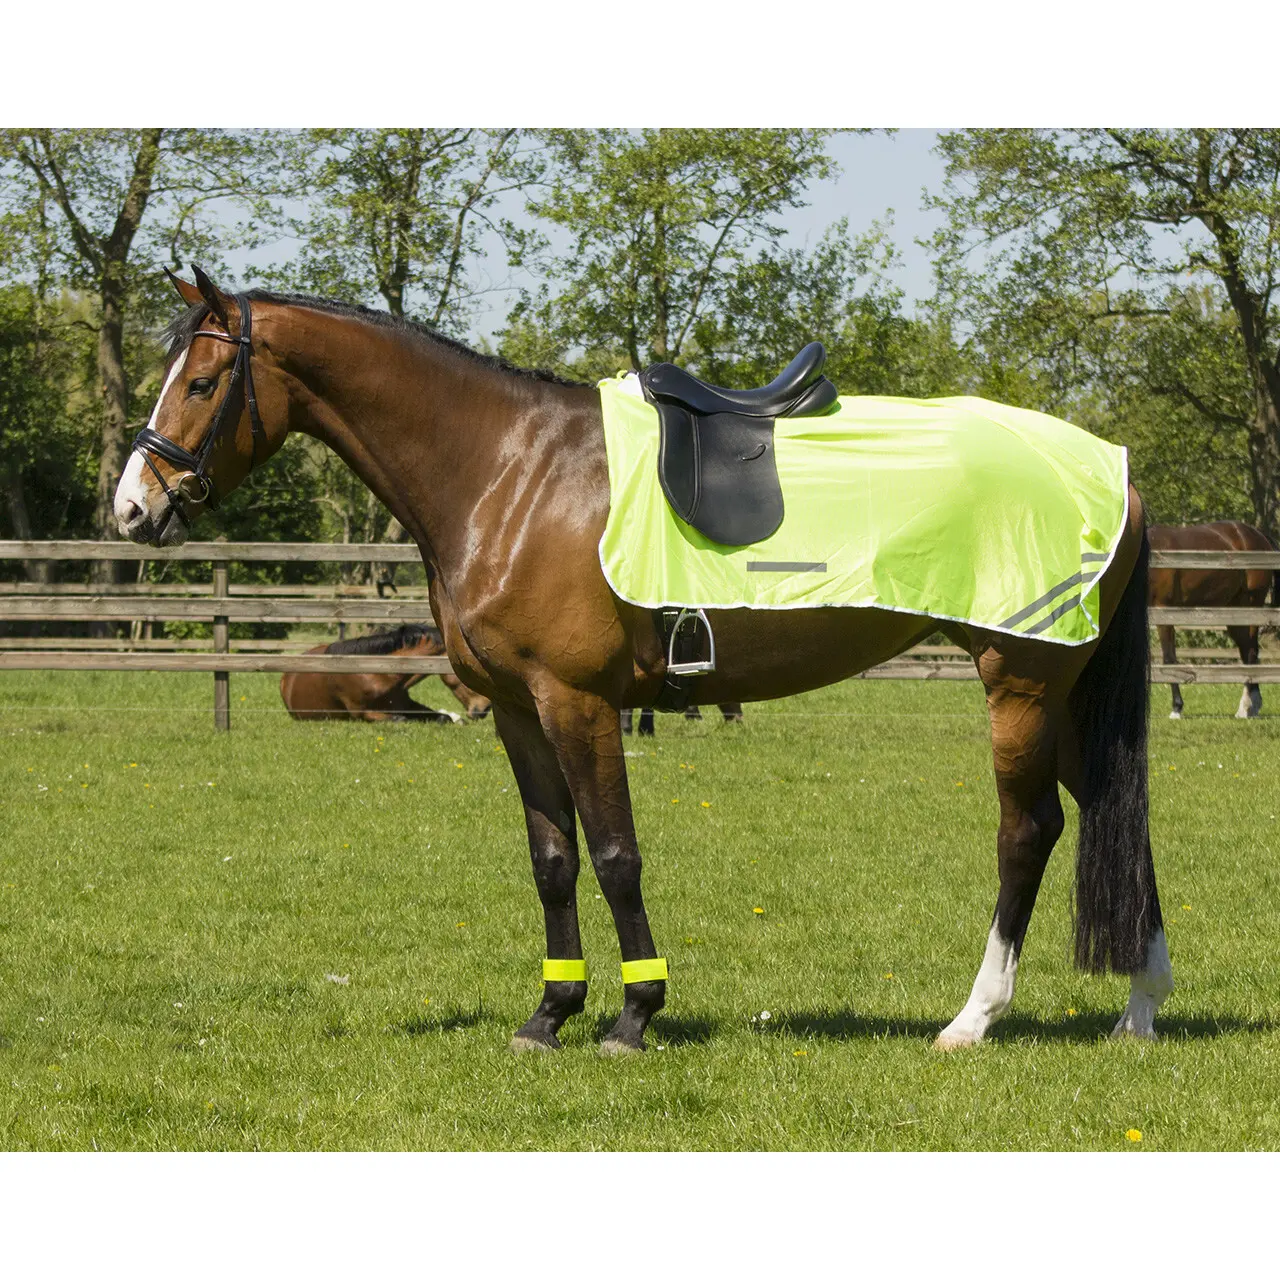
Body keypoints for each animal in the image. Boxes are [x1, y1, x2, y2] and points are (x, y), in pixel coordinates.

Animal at [281, 624, 492, 723]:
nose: (485, 708)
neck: (382, 673)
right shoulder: (361, 714)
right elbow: (400, 719)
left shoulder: (407, 705)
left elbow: (442, 717)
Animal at [1148, 521, 1277, 720]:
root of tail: (1258, 535)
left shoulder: (1163, 611)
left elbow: (1169, 659)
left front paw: (1177, 708)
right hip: (1234, 613)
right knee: (1246, 650)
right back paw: (1250, 706)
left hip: (1250, 607)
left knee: (1251, 652)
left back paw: (1246, 707)